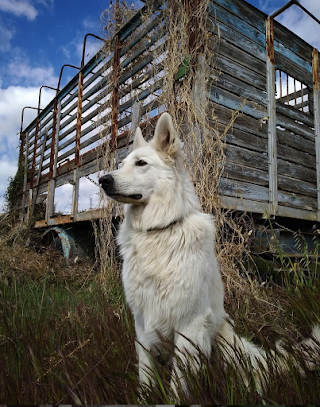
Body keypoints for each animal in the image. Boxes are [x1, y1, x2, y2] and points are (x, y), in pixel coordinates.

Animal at [99, 113, 318, 396]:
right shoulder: (143, 324)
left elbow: (178, 385)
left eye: (141, 163)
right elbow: (145, 378)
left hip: (225, 341)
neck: (158, 231)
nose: (103, 180)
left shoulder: (190, 324)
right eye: (122, 164)